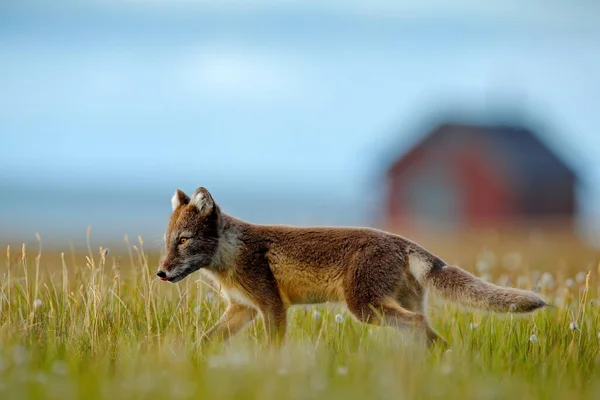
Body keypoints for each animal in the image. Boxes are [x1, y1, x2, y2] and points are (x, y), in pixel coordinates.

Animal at [158, 188, 548, 346]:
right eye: (167, 242)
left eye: (184, 241)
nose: (160, 272)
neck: (230, 254)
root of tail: (401, 240)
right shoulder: (243, 309)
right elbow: (204, 342)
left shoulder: (272, 307)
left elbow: (272, 350)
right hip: (387, 307)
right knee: (430, 334)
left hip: (364, 307)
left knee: (416, 324)